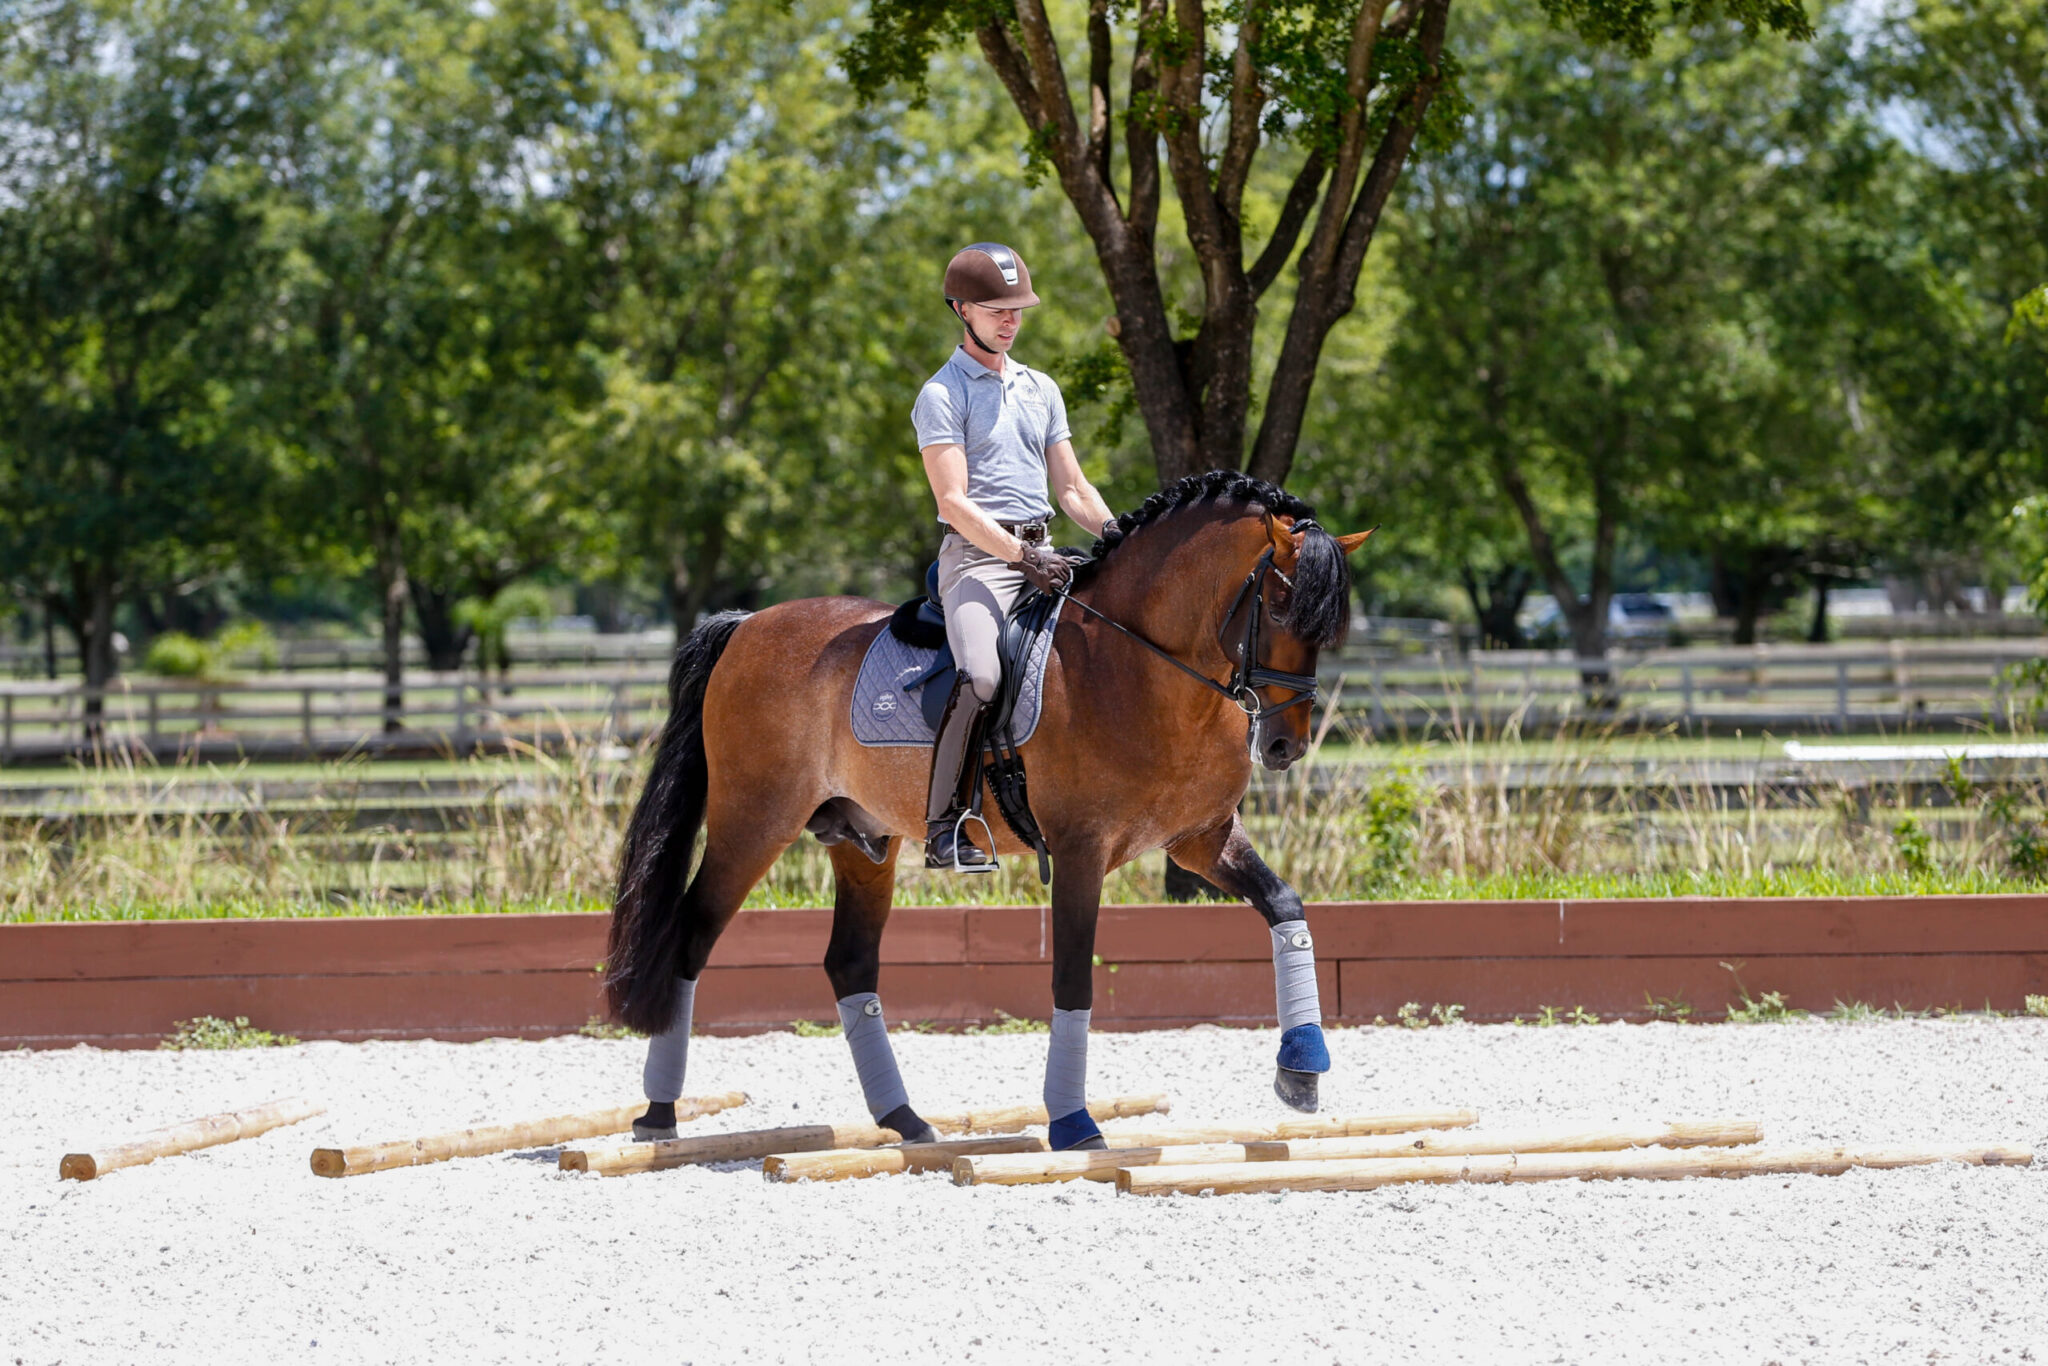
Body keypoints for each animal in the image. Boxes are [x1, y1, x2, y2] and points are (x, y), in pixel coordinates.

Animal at [606, 475, 1376, 1146]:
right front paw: (1073, 1123)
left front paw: (1302, 1072)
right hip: (754, 821)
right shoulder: (1081, 851)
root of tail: (747, 626)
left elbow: (1287, 907)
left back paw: (905, 1121)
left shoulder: (1202, 840)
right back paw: (659, 1114)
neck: (1144, 667)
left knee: (850, 963)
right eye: (1279, 609)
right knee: (691, 936)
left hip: (861, 837)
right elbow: (1072, 978)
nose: (1283, 745)